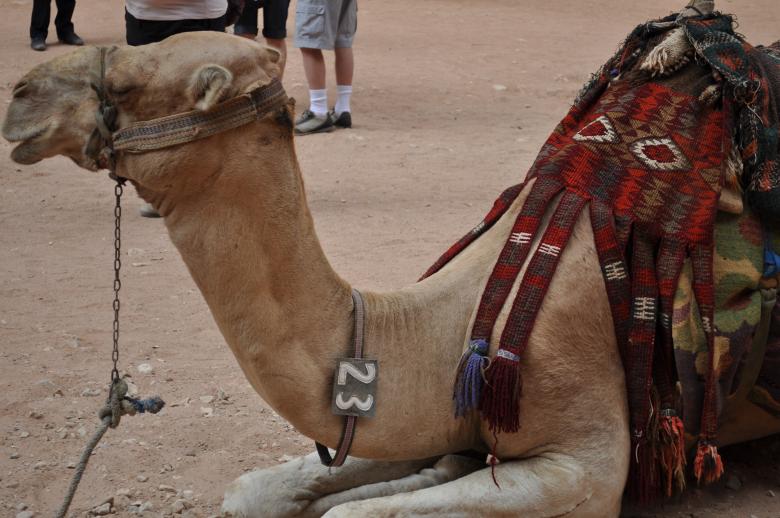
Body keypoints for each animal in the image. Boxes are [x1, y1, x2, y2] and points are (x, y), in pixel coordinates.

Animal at [3, 2, 779, 516]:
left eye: (126, 82)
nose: (18, 98)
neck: (463, 318)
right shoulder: (443, 410)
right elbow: (257, 489)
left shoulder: (587, 460)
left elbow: (357, 510)